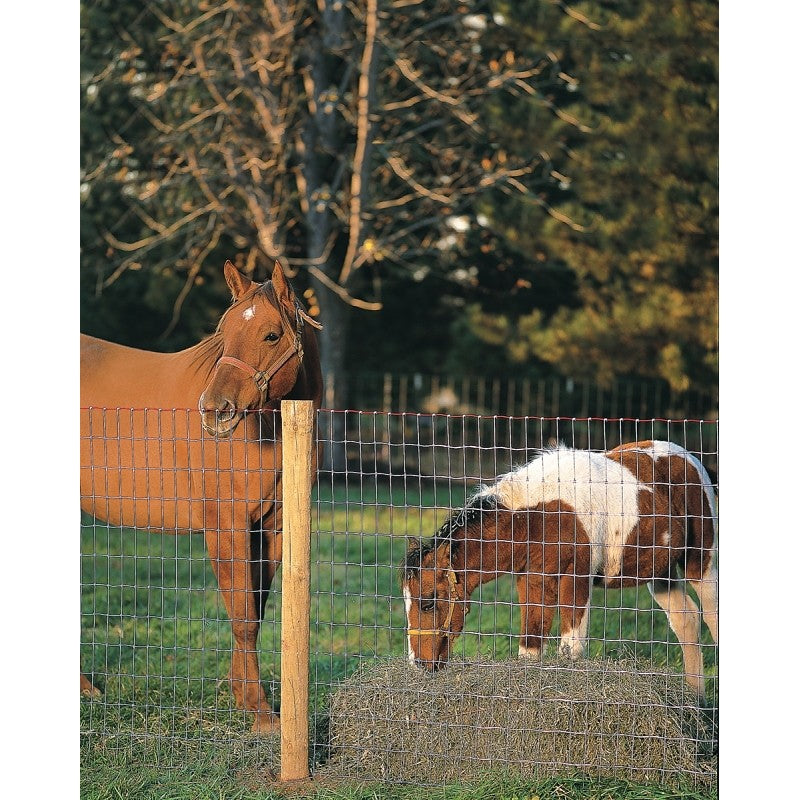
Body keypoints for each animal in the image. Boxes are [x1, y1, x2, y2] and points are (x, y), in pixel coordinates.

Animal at [80, 259, 323, 732]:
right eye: (223, 332)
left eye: (271, 334)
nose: (214, 410)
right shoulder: (226, 526)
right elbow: (243, 614)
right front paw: (261, 712)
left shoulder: (270, 528)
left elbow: (255, 611)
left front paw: (243, 697)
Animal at [401, 440, 718, 699]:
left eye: (428, 603)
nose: (419, 664)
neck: (536, 517)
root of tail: (688, 458)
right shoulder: (531, 582)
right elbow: (530, 648)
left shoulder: (575, 581)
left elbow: (570, 650)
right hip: (660, 572)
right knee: (686, 620)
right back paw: (696, 702)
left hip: (700, 562)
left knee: (711, 616)